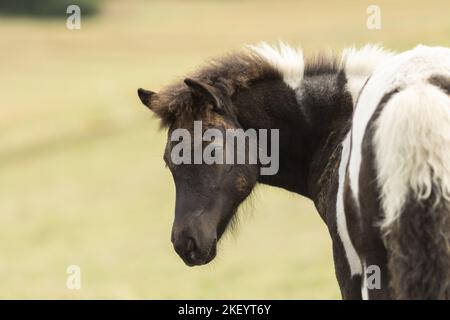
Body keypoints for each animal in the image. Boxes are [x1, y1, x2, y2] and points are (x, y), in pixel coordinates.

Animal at [137, 43, 450, 300]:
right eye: (167, 161)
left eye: (212, 149)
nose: (185, 243)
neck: (338, 126)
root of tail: (418, 92)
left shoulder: (348, 265)